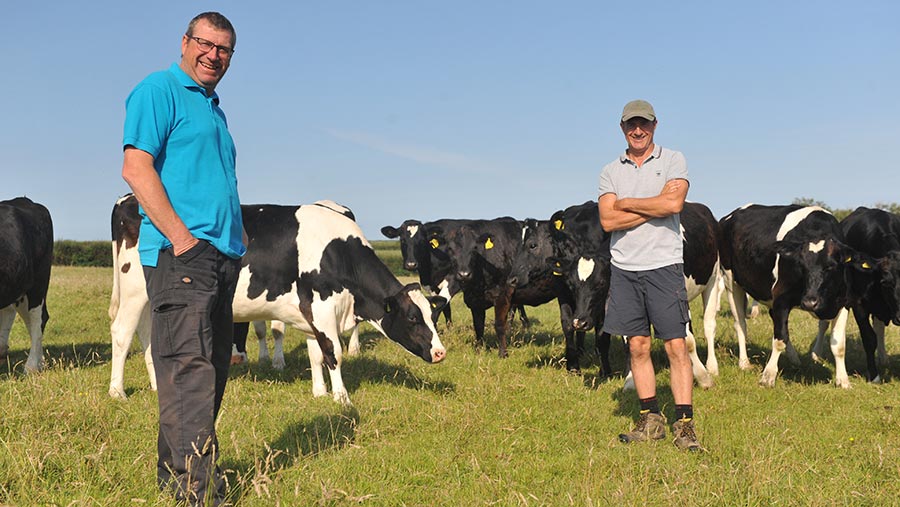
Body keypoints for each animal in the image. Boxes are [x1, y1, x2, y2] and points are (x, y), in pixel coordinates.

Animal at [0, 197, 53, 374]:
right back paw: (40, 361)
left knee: (38, 318)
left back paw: (32, 366)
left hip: (39, 281)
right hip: (17, 288)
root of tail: (23, 199)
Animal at [428, 217, 560, 358]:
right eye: (450, 249)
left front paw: (503, 353)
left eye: (474, 249)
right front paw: (479, 350)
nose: (464, 274)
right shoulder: (474, 301)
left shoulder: (503, 295)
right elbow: (478, 326)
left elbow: (499, 325)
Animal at [712, 204, 856, 386]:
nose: (809, 303)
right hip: (731, 281)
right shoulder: (781, 298)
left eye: (830, 266)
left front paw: (843, 381)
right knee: (741, 324)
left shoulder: (843, 303)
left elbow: (839, 346)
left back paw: (794, 359)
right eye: (801, 265)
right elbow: (778, 340)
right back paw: (744, 363)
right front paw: (768, 376)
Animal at [808, 208, 900, 382]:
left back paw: (883, 357)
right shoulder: (858, 303)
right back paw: (816, 354)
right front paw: (874, 376)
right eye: (886, 282)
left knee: (879, 327)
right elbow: (869, 338)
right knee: (824, 324)